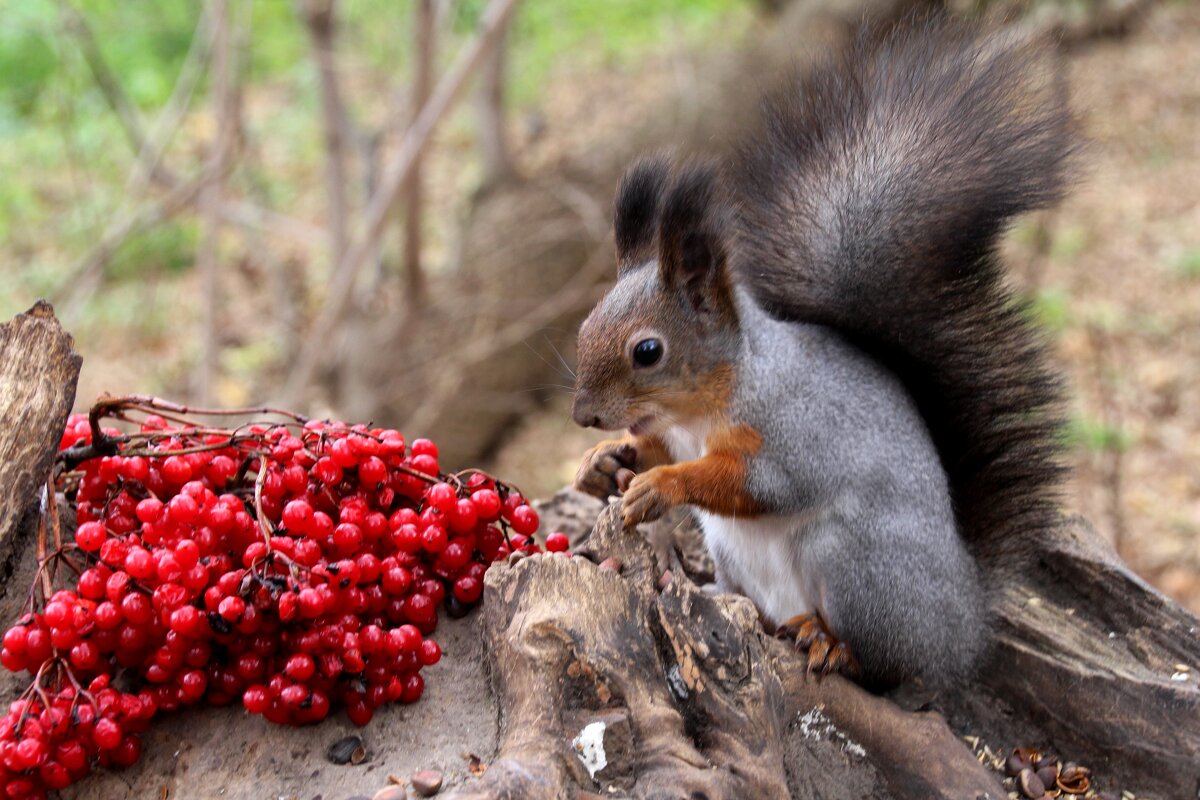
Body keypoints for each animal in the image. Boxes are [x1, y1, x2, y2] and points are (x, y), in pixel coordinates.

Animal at [566, 17, 1075, 690]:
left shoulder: (798, 433)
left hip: (853, 562)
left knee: (886, 662)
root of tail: (964, 631)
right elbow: (650, 449)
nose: (584, 416)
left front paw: (663, 485)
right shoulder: (672, 432)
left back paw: (833, 645)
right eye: (585, 324)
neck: (704, 406)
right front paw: (601, 463)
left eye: (648, 350)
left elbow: (755, 482)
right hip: (735, 553)